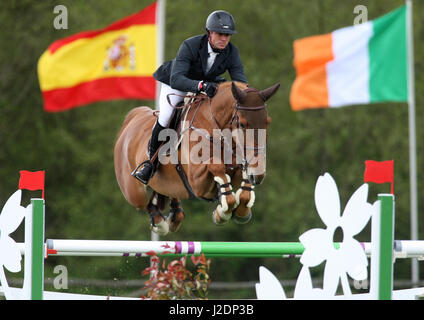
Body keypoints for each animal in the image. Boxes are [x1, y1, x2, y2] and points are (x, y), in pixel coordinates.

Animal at [113, 80, 278, 235]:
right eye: (242, 124)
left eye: (267, 122)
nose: (258, 176)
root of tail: (132, 119)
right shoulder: (197, 182)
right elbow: (216, 166)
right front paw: (223, 211)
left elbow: (242, 184)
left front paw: (237, 210)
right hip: (134, 192)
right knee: (145, 202)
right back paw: (159, 221)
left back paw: (175, 214)